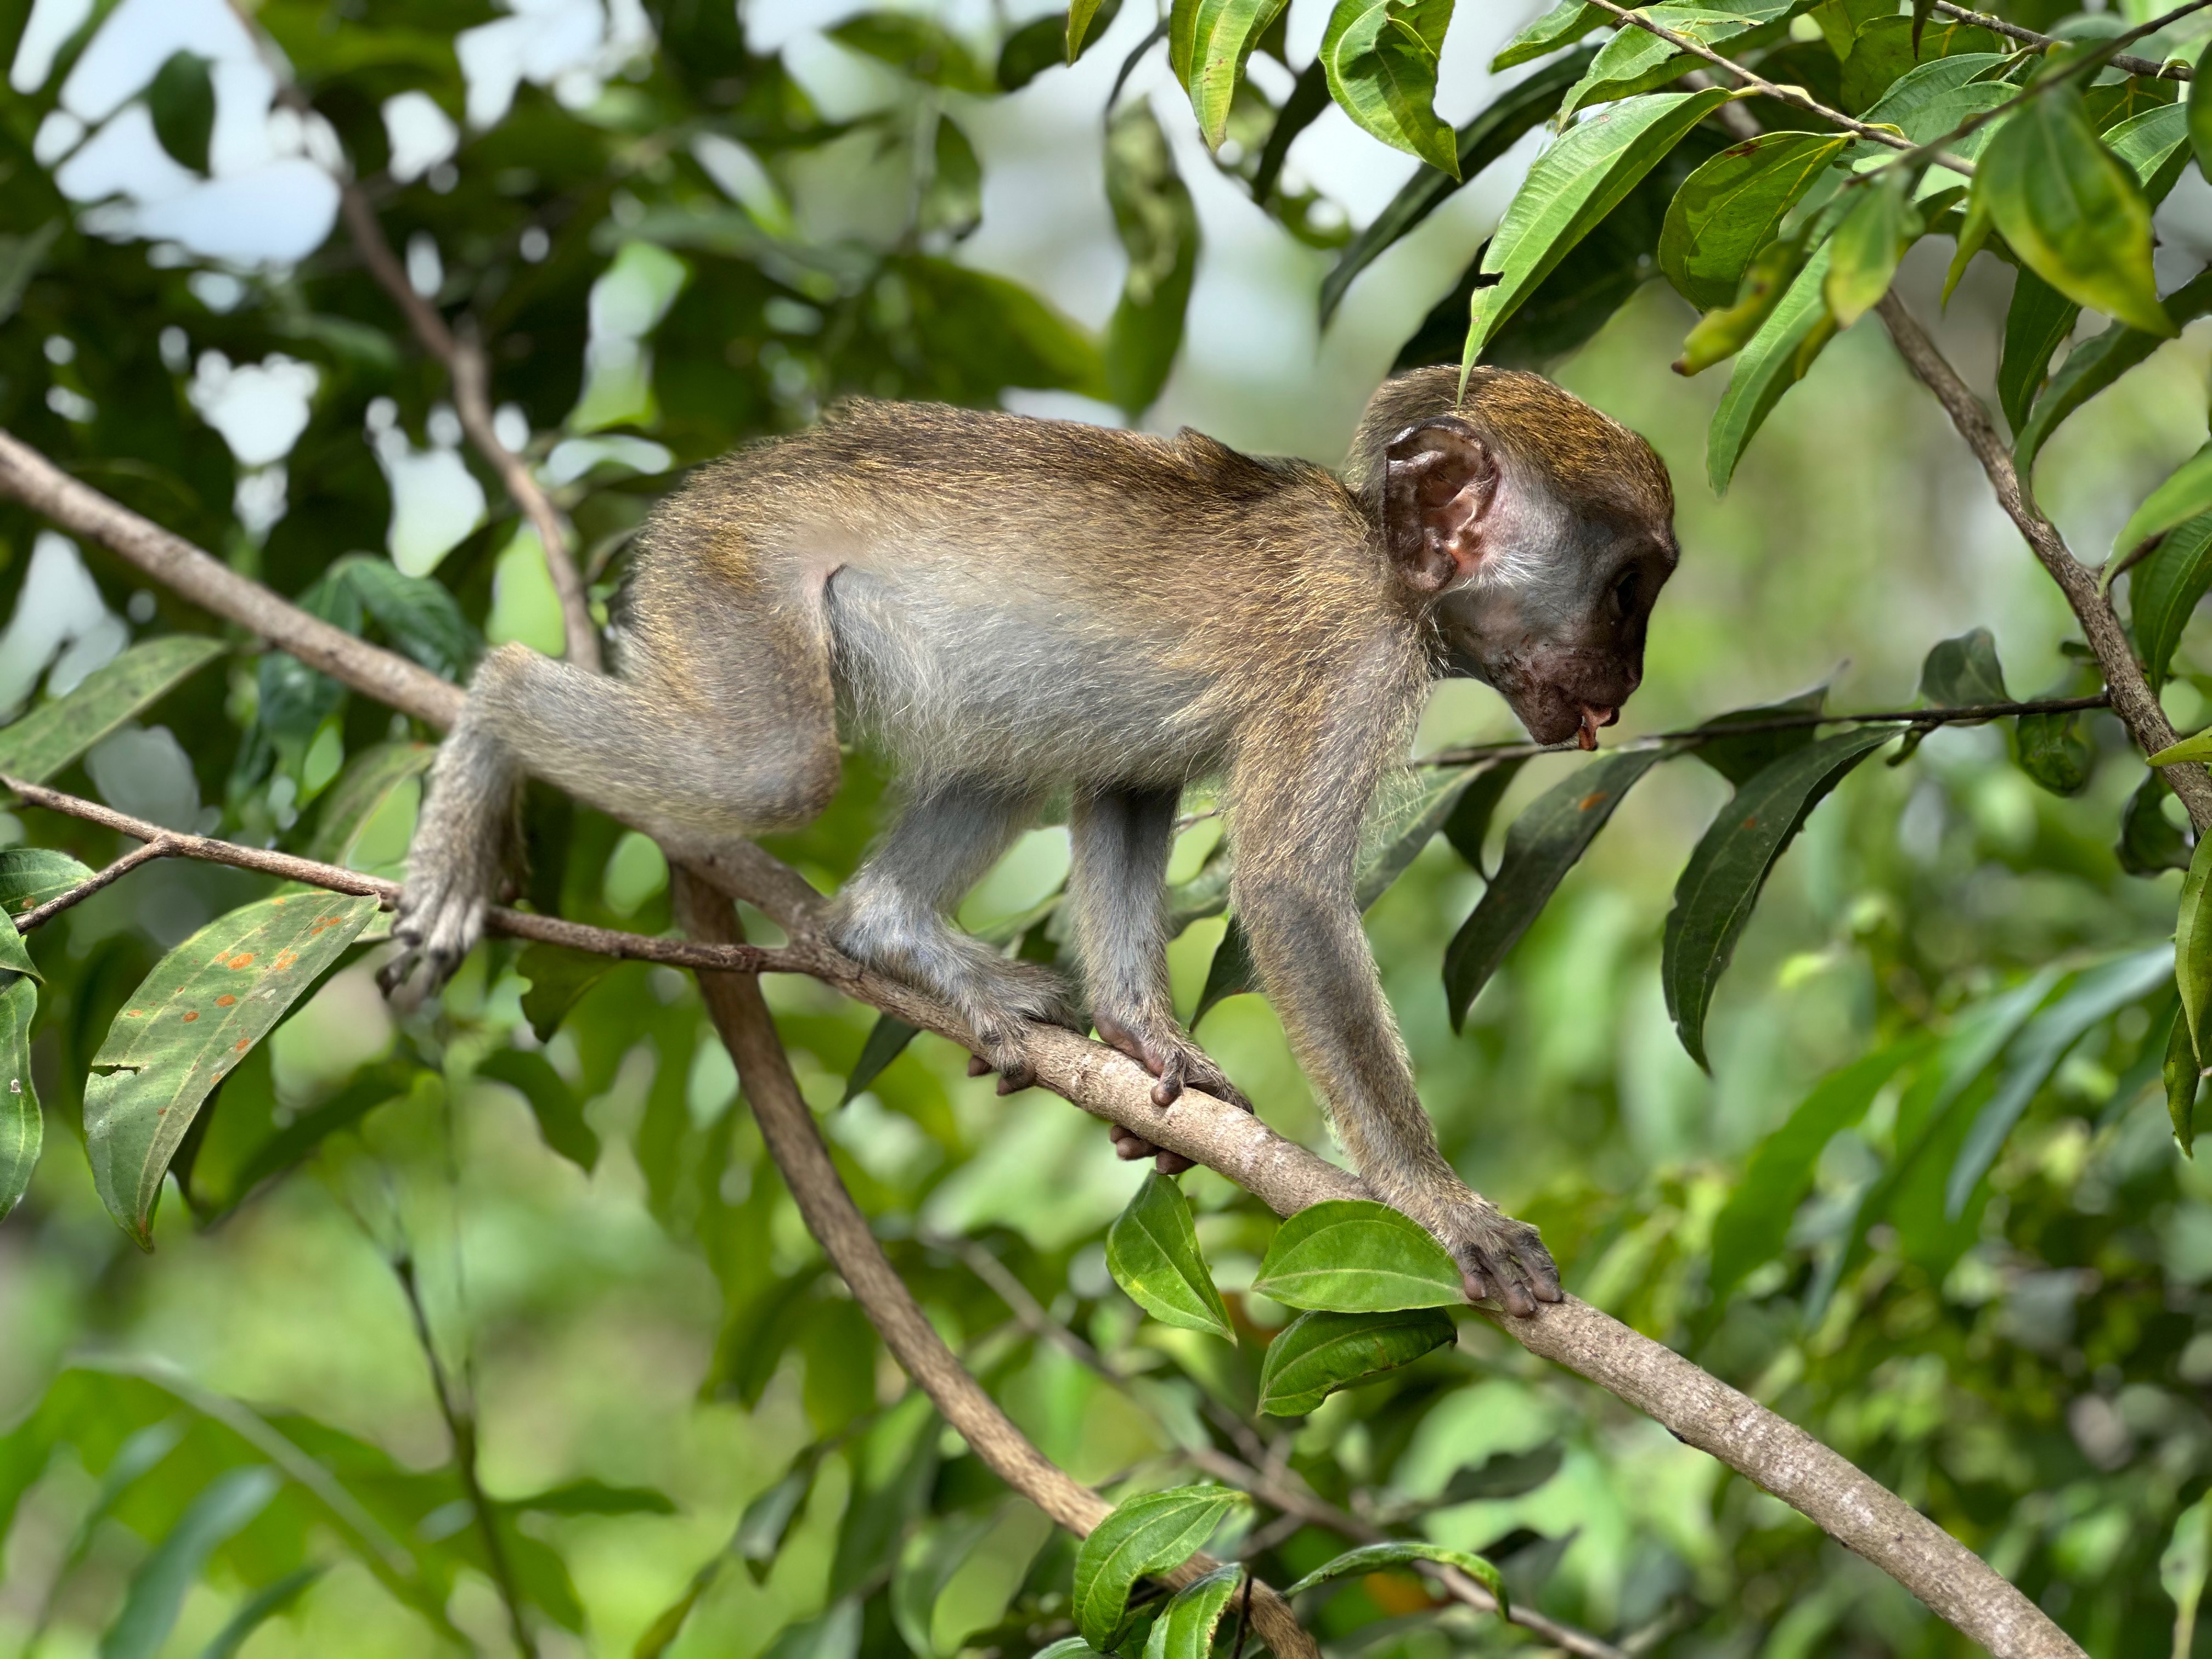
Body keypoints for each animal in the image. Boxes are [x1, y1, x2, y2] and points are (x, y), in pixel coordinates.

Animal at [383, 363, 1678, 1317]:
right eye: (1628, 590)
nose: (1629, 678)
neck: (1381, 561)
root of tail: (714, 492)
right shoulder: (1350, 657)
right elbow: (1289, 892)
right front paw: (1434, 1199)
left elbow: (1126, 784)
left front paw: (1143, 1034)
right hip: (728, 576)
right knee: (768, 769)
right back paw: (488, 728)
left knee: (1011, 739)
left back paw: (892, 935)